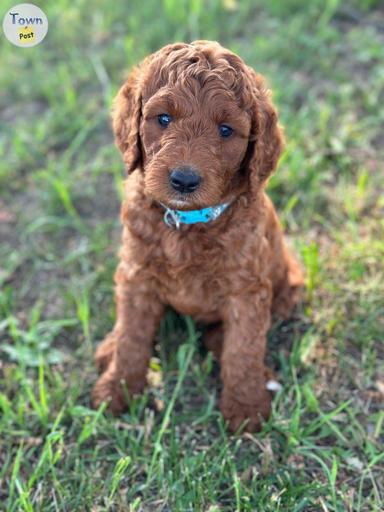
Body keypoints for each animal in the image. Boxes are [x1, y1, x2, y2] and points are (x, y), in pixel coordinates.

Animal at [92, 41, 304, 432]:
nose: (184, 180)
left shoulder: (246, 290)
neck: (186, 223)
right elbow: (132, 337)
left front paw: (246, 408)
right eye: (163, 119)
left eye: (226, 130)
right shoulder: (137, 276)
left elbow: (243, 348)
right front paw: (117, 390)